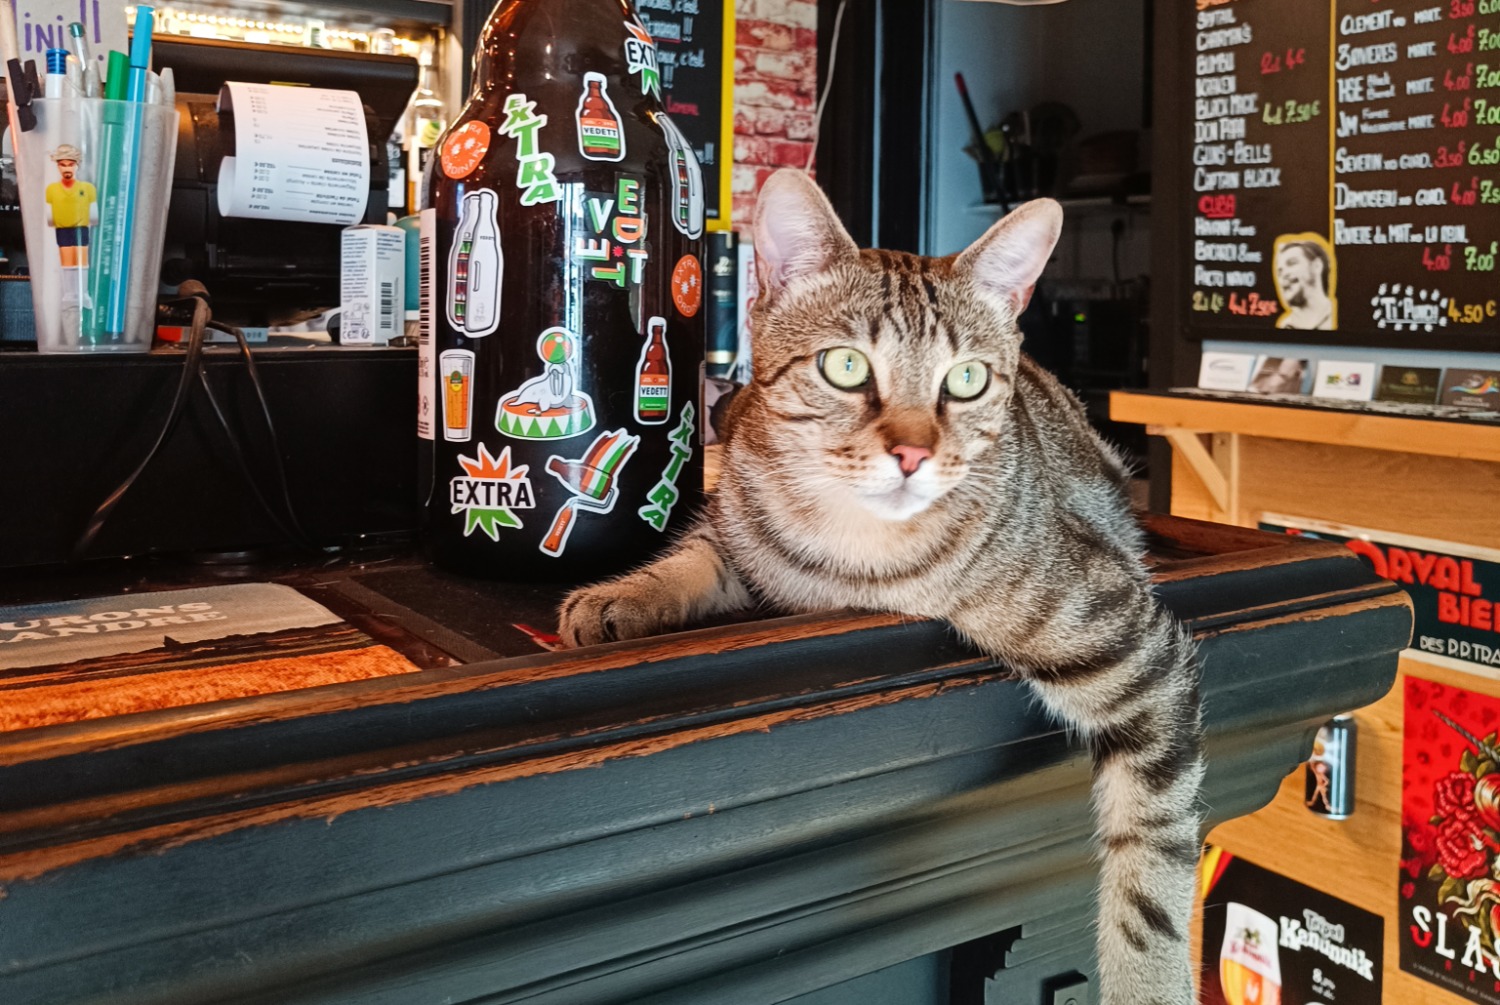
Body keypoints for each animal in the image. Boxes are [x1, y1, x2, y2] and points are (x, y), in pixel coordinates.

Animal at [561, 169, 1206, 1002]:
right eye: (845, 366)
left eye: (966, 380)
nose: (911, 453)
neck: (849, 551)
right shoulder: (739, 526)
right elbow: (692, 560)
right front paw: (622, 596)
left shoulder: (1139, 649)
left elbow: (1153, 864)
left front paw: (1148, 983)